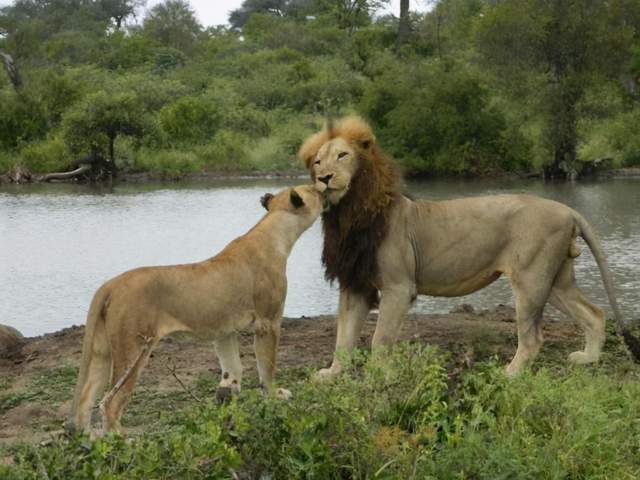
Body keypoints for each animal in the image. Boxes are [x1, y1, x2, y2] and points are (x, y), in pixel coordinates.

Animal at [70, 184, 324, 432]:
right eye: (314, 189)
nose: (324, 188)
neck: (275, 233)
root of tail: (110, 284)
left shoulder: (224, 332)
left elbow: (232, 373)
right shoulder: (268, 322)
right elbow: (267, 368)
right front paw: (275, 397)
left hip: (102, 351)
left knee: (85, 400)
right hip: (133, 349)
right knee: (110, 403)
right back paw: (121, 442)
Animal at [302, 116, 640, 378]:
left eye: (343, 155)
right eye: (318, 162)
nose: (324, 178)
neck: (349, 213)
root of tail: (568, 209)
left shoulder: (399, 287)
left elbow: (380, 339)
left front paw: (380, 374)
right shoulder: (355, 284)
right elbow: (343, 337)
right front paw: (331, 374)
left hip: (531, 279)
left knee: (533, 337)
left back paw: (509, 374)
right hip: (555, 280)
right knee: (594, 314)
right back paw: (588, 359)